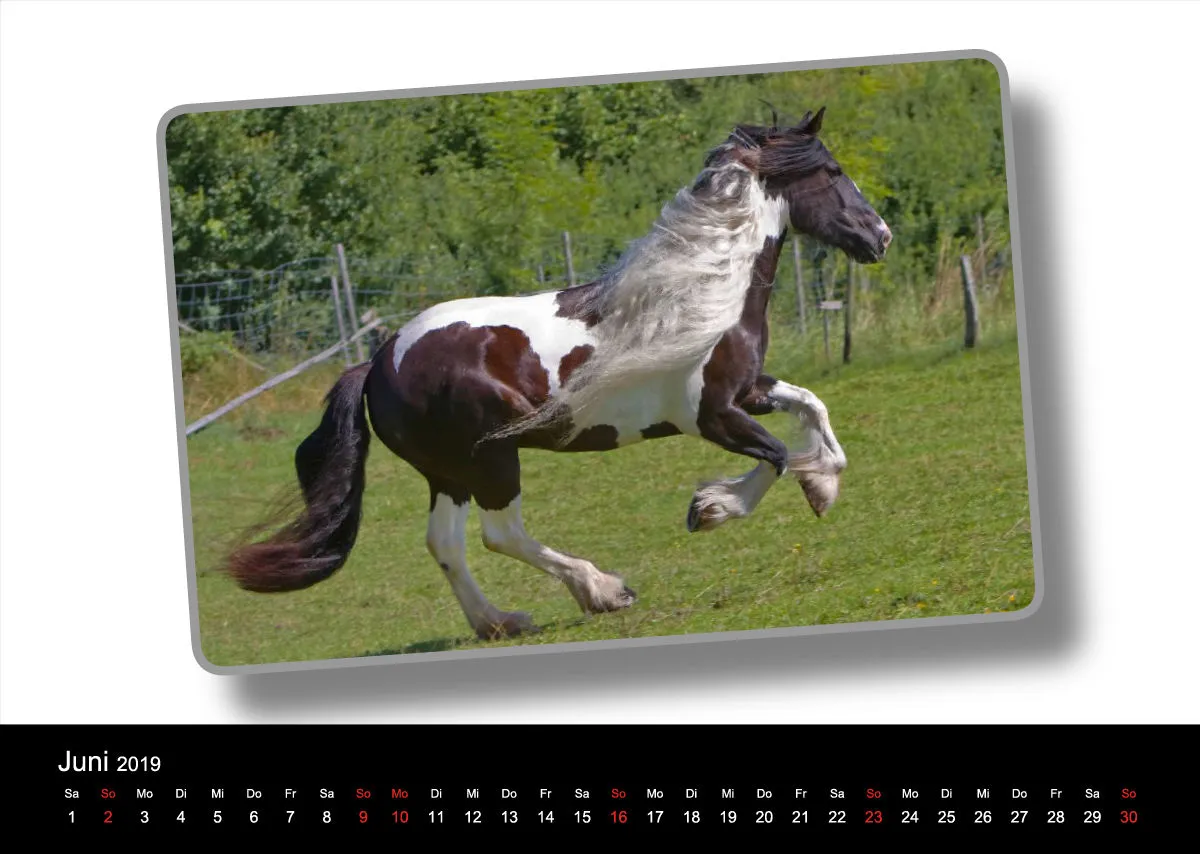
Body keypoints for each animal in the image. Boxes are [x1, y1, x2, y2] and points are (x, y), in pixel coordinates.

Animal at [224, 107, 891, 640]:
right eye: (834, 172)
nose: (880, 236)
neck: (701, 291)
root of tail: (378, 362)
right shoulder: (711, 414)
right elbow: (774, 455)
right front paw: (710, 509)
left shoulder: (750, 390)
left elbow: (812, 405)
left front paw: (822, 485)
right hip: (490, 458)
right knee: (500, 533)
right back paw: (603, 591)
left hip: (449, 472)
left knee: (447, 542)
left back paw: (500, 622)